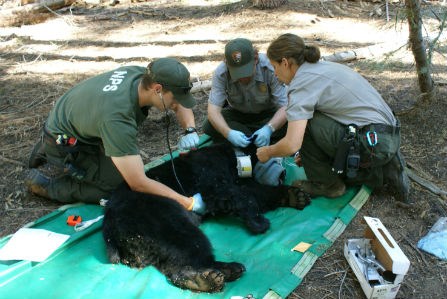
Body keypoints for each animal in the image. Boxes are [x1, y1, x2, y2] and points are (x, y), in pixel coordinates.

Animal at [103, 143, 310, 292]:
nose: (284, 172)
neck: (234, 158)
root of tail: (111, 230)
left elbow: (256, 191)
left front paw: (293, 195)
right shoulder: (212, 181)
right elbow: (239, 196)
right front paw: (259, 222)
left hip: (149, 243)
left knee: (171, 261)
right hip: (161, 220)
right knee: (188, 247)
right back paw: (211, 276)